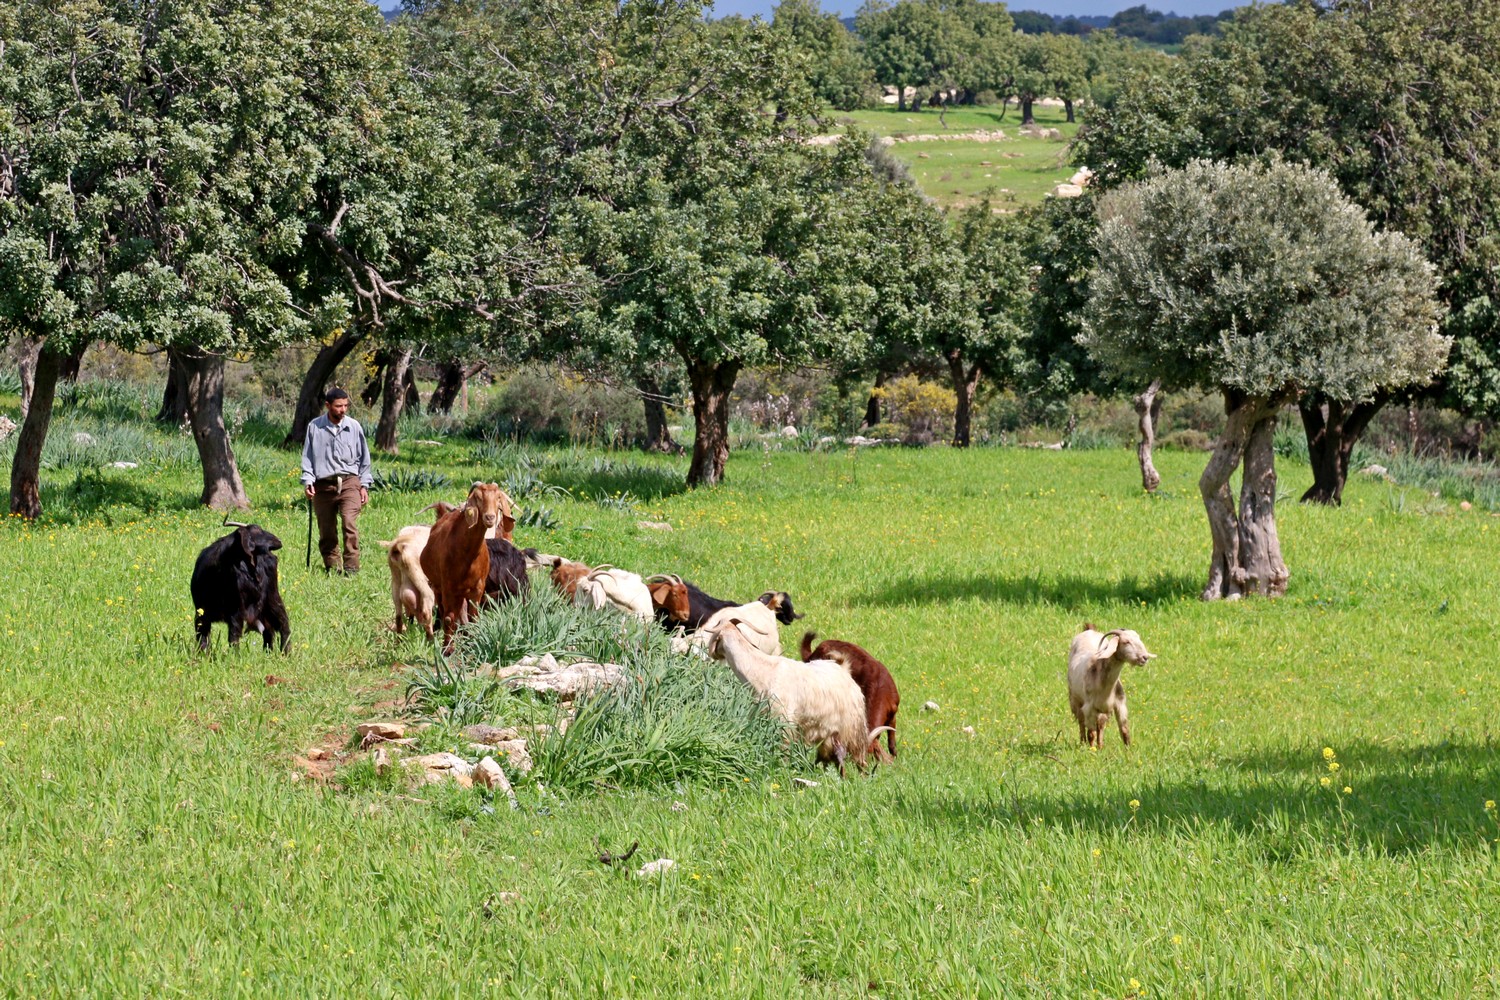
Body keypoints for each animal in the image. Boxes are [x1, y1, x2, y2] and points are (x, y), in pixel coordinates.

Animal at [189, 521, 288, 653]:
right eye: (256, 529)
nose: (278, 541)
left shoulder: (236, 609)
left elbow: (234, 634)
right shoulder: (201, 611)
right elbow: (202, 636)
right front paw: (204, 654)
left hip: (272, 597)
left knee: (283, 624)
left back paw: (286, 653)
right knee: (269, 630)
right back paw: (269, 652)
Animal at [420, 479, 507, 653]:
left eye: (498, 498)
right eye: (478, 498)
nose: (490, 517)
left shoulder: (477, 588)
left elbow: (474, 617)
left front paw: (473, 643)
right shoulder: (448, 587)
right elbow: (448, 617)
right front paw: (448, 649)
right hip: (439, 586)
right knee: (444, 611)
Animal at [702, 620, 876, 779]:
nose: (709, 655)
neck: (762, 671)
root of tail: (843, 667)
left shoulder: (784, 722)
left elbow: (783, 750)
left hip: (853, 728)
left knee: (859, 758)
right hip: (828, 733)